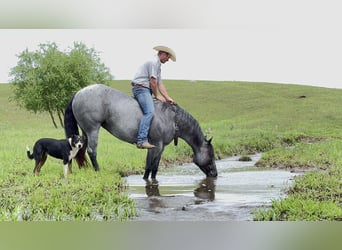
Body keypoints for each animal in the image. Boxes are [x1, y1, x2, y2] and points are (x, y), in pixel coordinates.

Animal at [64, 84, 218, 180]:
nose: (215, 174)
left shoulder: (157, 147)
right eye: (211, 155)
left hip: (85, 132)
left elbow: (152, 167)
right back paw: (97, 171)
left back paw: (84, 169)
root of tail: (78, 93)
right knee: (92, 151)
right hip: (93, 129)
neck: (172, 118)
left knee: (82, 150)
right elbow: (151, 166)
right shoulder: (157, 145)